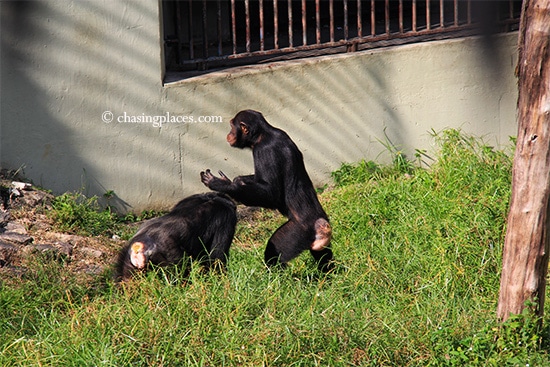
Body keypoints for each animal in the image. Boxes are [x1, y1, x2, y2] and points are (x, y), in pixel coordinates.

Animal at [201, 109, 334, 274]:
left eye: (232, 126)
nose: (228, 134)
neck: (262, 135)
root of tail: (321, 224)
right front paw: (238, 180)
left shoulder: (264, 151)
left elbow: (271, 193)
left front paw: (224, 185)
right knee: (323, 255)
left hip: (298, 232)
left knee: (273, 252)